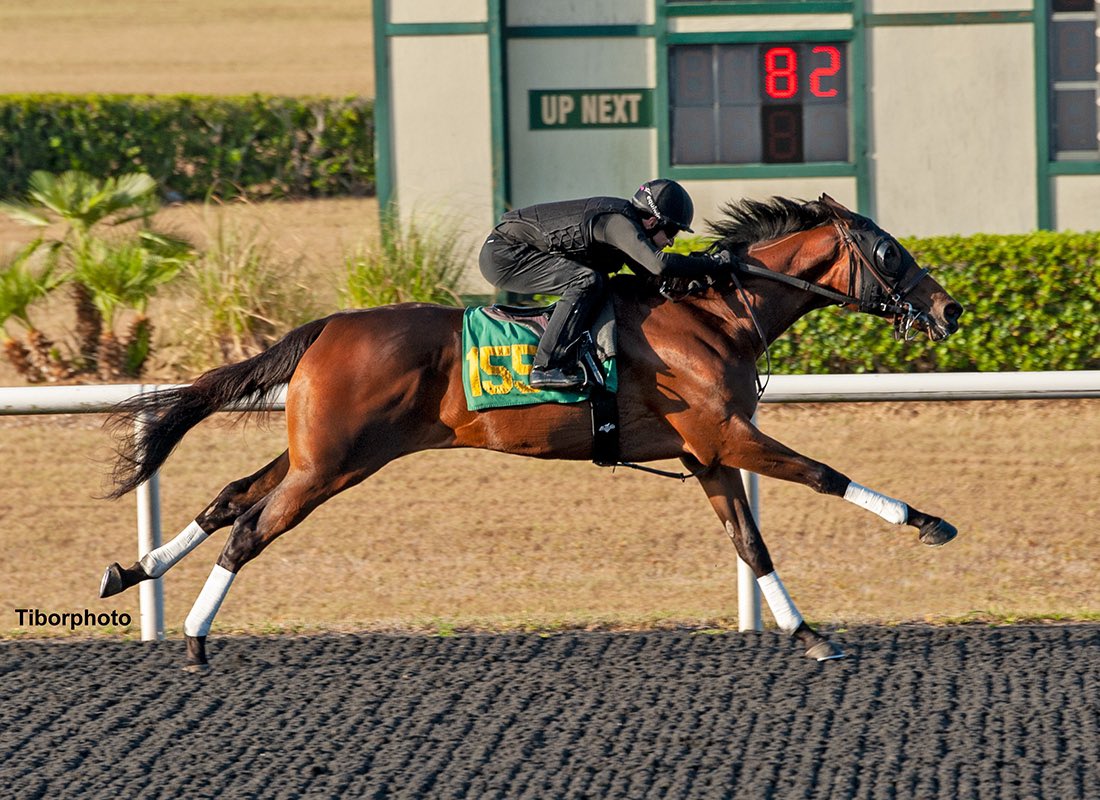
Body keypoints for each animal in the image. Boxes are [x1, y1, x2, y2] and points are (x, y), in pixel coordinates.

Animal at [99, 194, 964, 671]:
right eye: (890, 251)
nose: (950, 308)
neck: (714, 314)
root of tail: (327, 326)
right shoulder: (725, 438)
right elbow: (822, 474)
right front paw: (928, 522)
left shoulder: (706, 454)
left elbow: (752, 546)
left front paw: (809, 634)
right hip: (333, 465)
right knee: (249, 529)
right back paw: (193, 639)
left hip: (318, 452)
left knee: (228, 497)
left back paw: (132, 571)